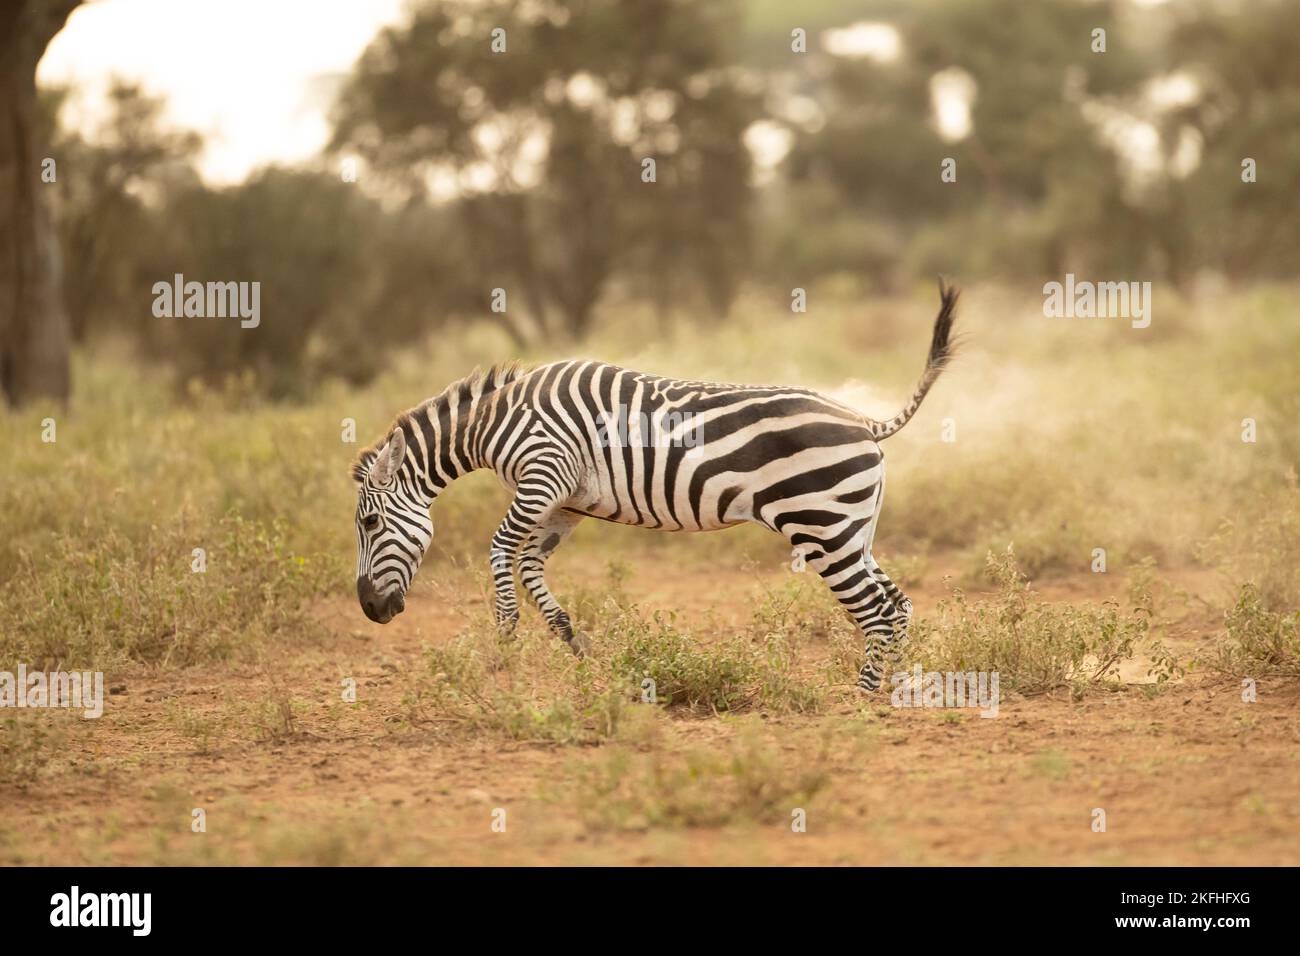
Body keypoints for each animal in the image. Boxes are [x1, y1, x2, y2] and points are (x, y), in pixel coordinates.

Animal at [351, 280, 961, 691]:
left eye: (370, 522)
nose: (371, 611)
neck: (498, 421)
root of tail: (864, 421)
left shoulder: (542, 474)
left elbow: (501, 550)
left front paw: (503, 639)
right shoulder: (564, 501)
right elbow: (530, 563)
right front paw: (570, 638)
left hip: (821, 527)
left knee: (876, 609)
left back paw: (859, 701)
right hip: (851, 527)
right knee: (897, 604)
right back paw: (893, 688)